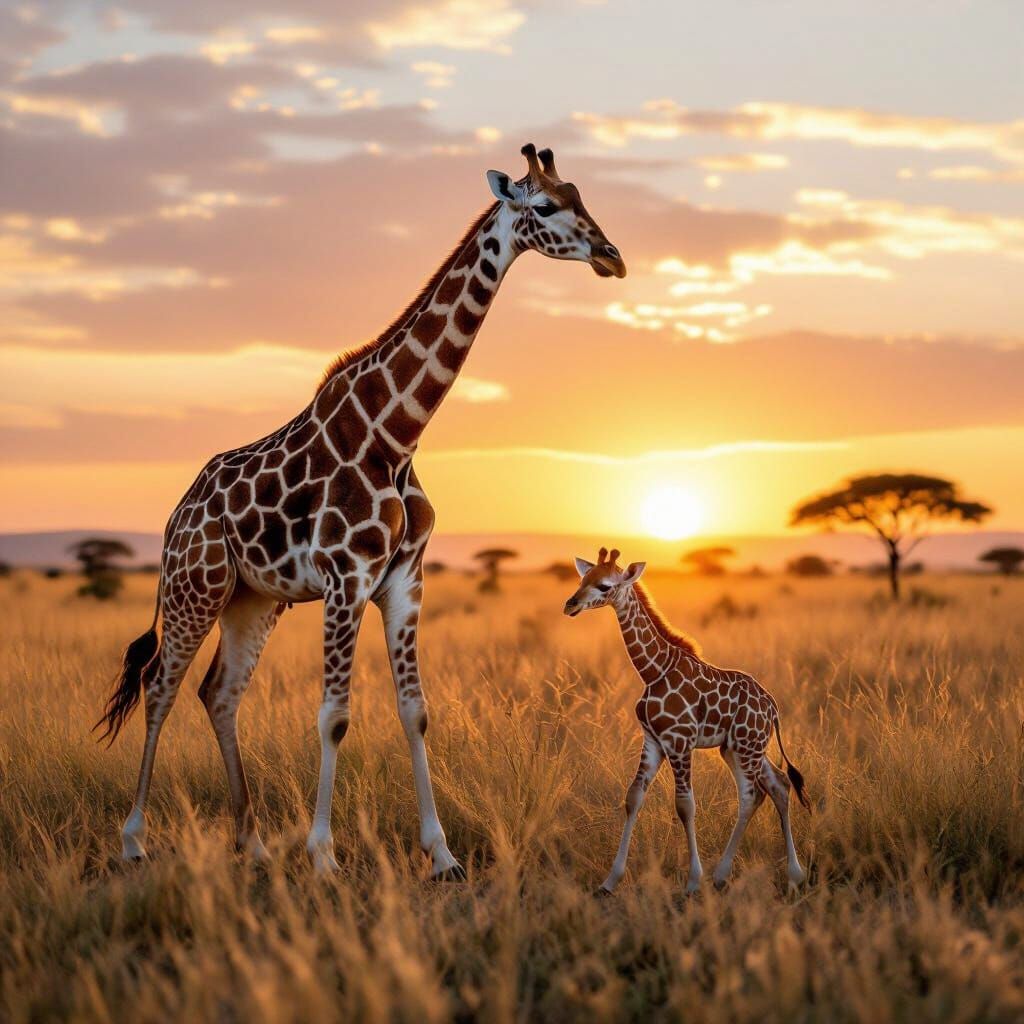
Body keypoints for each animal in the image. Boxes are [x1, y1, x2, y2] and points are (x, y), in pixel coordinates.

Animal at [96, 145, 627, 877]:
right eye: (545, 206)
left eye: (583, 197)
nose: (612, 255)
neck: (395, 434)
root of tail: (178, 514)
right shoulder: (345, 577)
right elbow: (335, 714)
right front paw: (323, 855)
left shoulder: (404, 580)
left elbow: (415, 711)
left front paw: (442, 854)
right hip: (193, 587)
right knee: (160, 685)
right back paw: (134, 840)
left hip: (252, 600)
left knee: (219, 693)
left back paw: (252, 844)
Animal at [563, 548, 809, 895]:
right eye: (582, 579)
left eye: (605, 586)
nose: (570, 605)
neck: (653, 670)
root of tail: (772, 707)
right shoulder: (653, 740)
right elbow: (633, 797)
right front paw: (609, 881)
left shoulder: (680, 741)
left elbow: (685, 805)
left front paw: (693, 881)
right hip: (739, 748)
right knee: (778, 785)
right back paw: (794, 875)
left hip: (747, 746)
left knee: (751, 795)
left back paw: (721, 875)